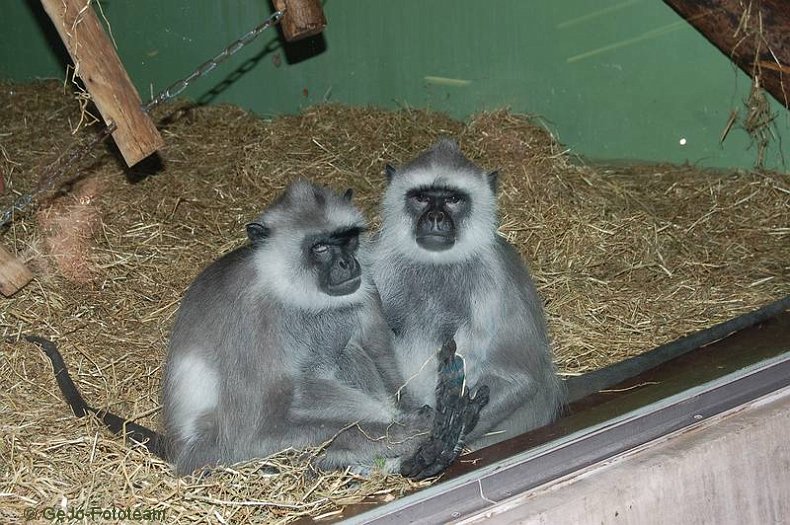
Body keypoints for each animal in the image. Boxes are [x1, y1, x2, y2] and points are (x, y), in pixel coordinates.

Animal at [374, 140, 568, 450]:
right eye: (422, 198)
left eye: (453, 199)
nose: (435, 217)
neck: (436, 265)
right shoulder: (377, 262)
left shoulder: (496, 280)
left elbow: (518, 379)